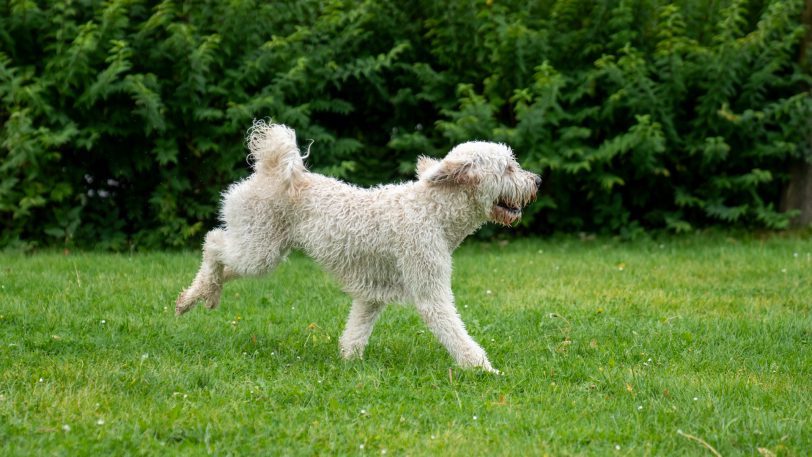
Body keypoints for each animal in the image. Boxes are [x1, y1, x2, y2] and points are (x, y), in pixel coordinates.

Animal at [179, 120, 544, 370]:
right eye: (508, 167)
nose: (538, 181)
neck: (432, 209)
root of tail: (271, 170)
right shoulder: (430, 291)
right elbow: (455, 331)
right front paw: (483, 369)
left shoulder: (372, 292)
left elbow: (356, 331)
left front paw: (349, 363)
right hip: (258, 251)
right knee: (213, 244)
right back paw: (193, 297)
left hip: (259, 249)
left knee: (222, 268)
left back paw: (203, 295)